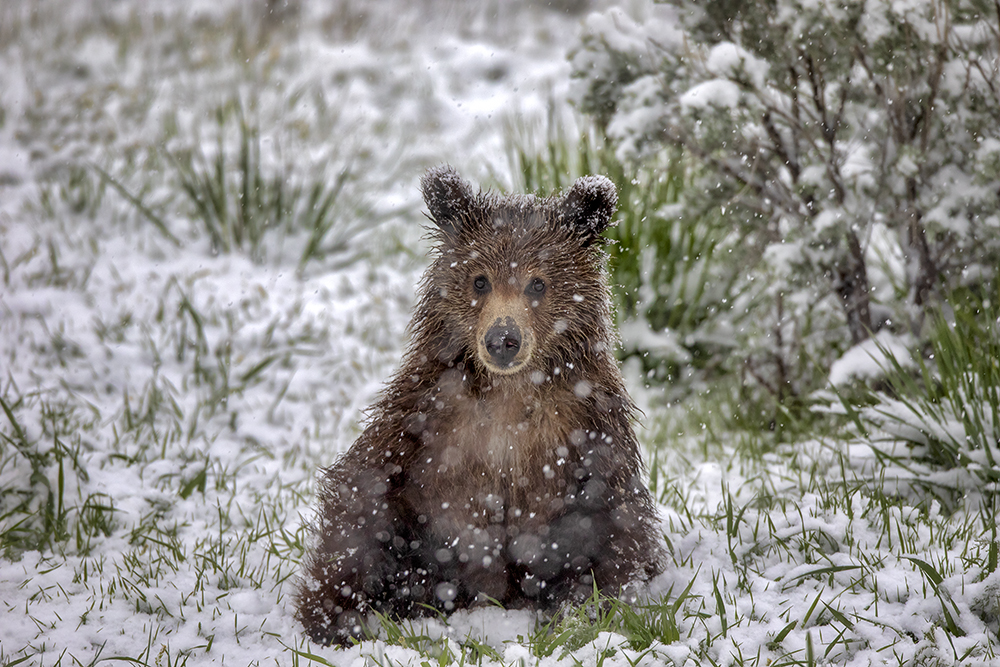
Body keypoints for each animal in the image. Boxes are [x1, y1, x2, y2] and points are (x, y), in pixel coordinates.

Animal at [296, 166, 665, 646]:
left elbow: (615, 521)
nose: (503, 338)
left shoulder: (587, 425)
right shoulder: (425, 410)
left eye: (538, 282)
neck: (510, 392)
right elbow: (366, 495)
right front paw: (331, 615)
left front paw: (585, 611)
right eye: (479, 279)